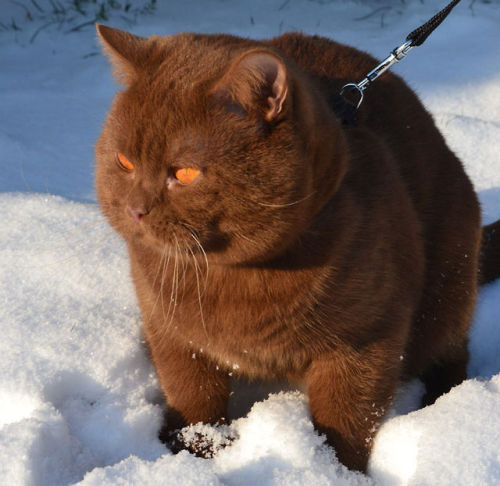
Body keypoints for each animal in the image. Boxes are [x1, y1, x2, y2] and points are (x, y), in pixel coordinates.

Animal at [94, 24, 500, 472]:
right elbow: (192, 394)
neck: (236, 279)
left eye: (184, 173)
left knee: (450, 352)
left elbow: (347, 419)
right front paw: (194, 451)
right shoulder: (170, 331)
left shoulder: (366, 340)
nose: (136, 209)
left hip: (449, 282)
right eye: (124, 162)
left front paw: (333, 471)